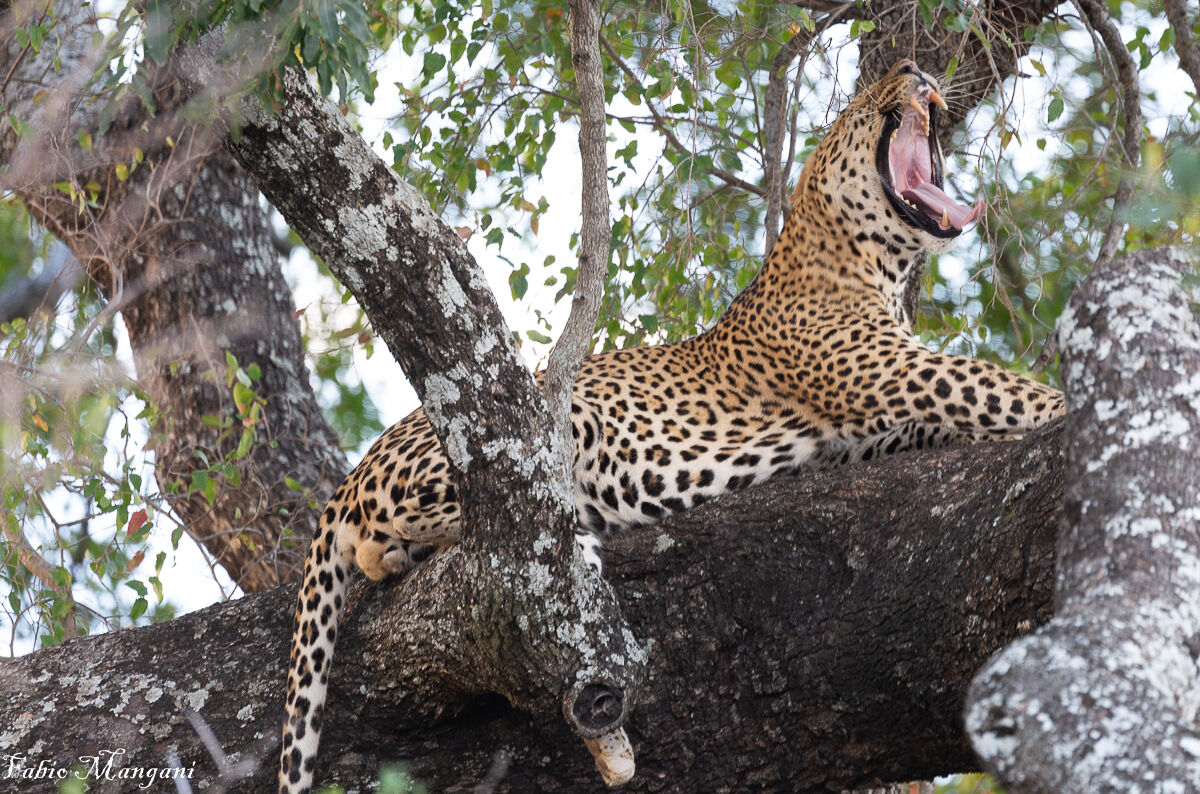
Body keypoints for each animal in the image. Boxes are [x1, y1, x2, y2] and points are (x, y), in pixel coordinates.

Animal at [278, 59, 1065, 793]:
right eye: (859, 102)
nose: (912, 68)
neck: (867, 260)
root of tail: (353, 471)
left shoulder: (881, 412)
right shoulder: (903, 371)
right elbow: (1011, 389)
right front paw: (1077, 402)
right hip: (560, 424)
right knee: (422, 532)